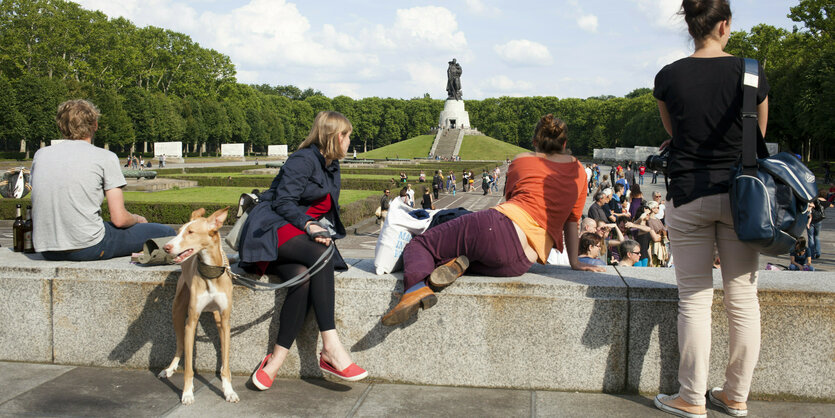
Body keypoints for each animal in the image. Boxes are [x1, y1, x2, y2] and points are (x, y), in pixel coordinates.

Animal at [159, 208, 238, 404]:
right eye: (179, 231)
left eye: (190, 232)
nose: (166, 247)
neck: (210, 273)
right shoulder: (191, 322)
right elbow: (188, 367)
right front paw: (187, 393)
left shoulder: (226, 320)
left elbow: (226, 359)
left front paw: (228, 390)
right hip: (177, 311)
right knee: (180, 345)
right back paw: (169, 369)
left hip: (218, 318)